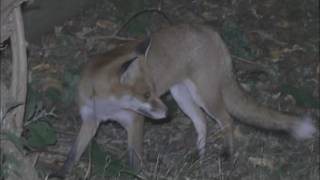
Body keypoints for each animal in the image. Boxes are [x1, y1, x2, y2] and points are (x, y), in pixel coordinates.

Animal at [54, 23, 316, 177]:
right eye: (147, 94)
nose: (167, 114)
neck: (107, 106)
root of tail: (211, 31)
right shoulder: (90, 120)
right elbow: (72, 154)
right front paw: (62, 174)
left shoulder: (135, 121)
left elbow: (134, 160)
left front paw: (135, 174)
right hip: (182, 97)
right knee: (202, 122)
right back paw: (198, 157)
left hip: (205, 96)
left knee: (227, 120)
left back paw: (227, 154)